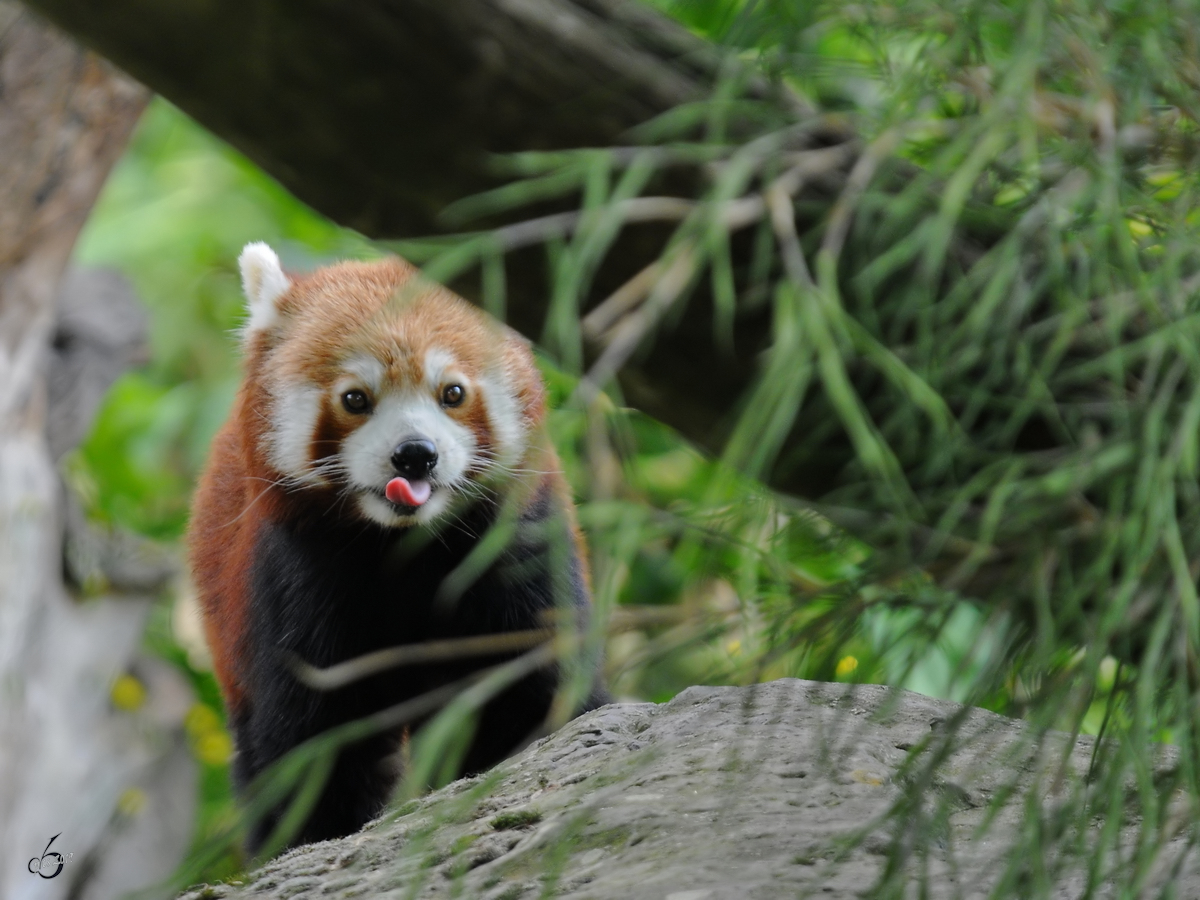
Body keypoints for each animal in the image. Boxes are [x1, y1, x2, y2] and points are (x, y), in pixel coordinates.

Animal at [188, 247, 609, 854]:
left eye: (452, 393)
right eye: (355, 399)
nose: (415, 455)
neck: (406, 542)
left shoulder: (515, 546)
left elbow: (530, 685)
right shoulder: (298, 574)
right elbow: (308, 742)